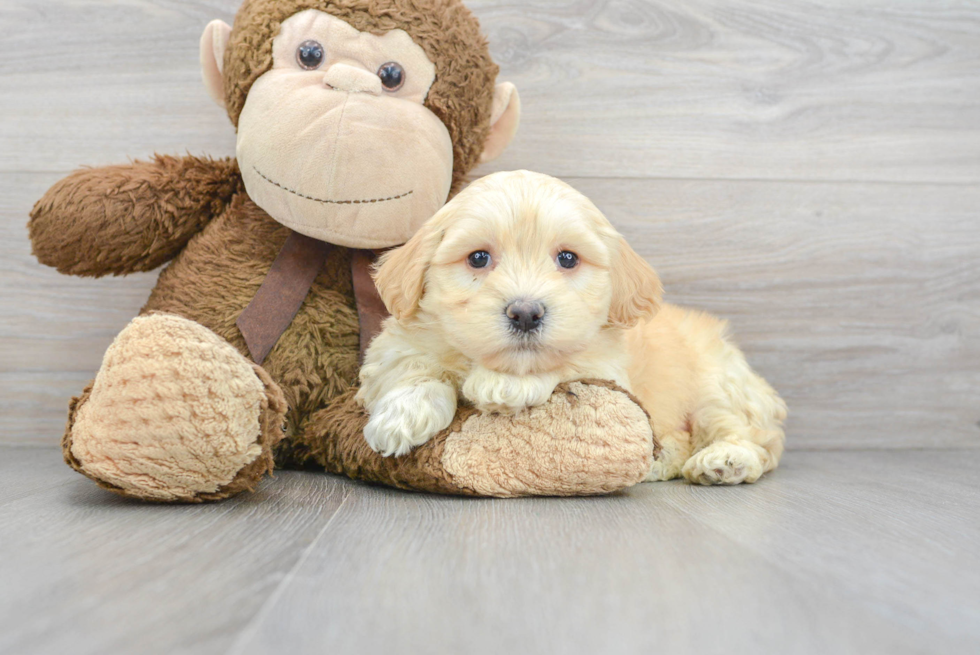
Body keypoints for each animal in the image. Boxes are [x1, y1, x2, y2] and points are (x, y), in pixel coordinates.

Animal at [356, 172, 784, 484]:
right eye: (478, 258)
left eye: (567, 258)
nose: (525, 313)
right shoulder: (392, 348)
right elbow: (413, 368)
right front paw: (402, 417)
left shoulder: (608, 368)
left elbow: (567, 362)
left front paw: (506, 385)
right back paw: (659, 463)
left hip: (719, 384)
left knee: (751, 438)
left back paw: (725, 460)